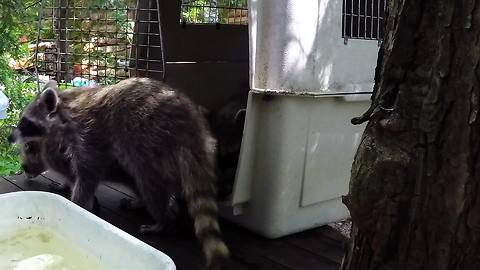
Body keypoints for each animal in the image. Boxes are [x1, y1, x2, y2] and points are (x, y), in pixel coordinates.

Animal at [8, 78, 230, 270]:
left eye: (25, 122)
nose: (9, 138)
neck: (65, 105)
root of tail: (193, 129)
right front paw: (65, 186)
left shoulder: (88, 134)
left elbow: (88, 173)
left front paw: (77, 203)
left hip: (153, 139)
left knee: (149, 183)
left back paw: (162, 220)